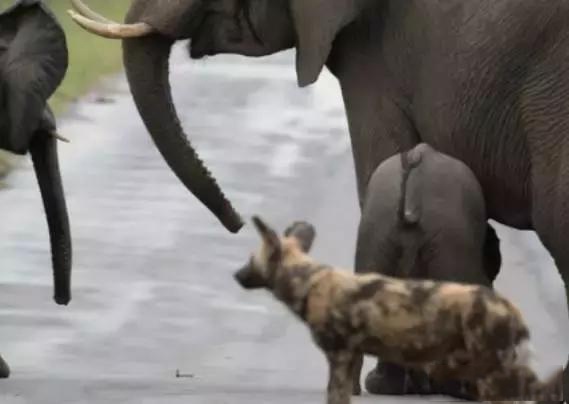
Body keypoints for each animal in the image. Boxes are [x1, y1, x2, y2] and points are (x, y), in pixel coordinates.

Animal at [233, 216, 560, 402]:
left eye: (250, 259)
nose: (236, 275)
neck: (311, 280)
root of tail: (509, 307)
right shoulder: (349, 358)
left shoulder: (340, 356)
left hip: (491, 370)